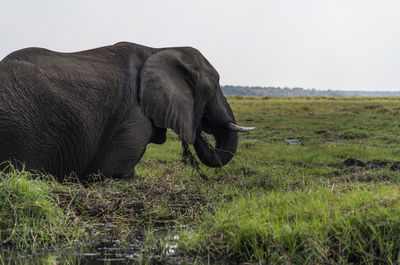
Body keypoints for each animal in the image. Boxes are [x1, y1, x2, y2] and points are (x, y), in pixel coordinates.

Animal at [0, 42, 255, 180]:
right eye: (213, 86)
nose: (198, 127)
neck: (158, 48)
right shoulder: (134, 113)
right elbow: (115, 172)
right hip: (19, 125)